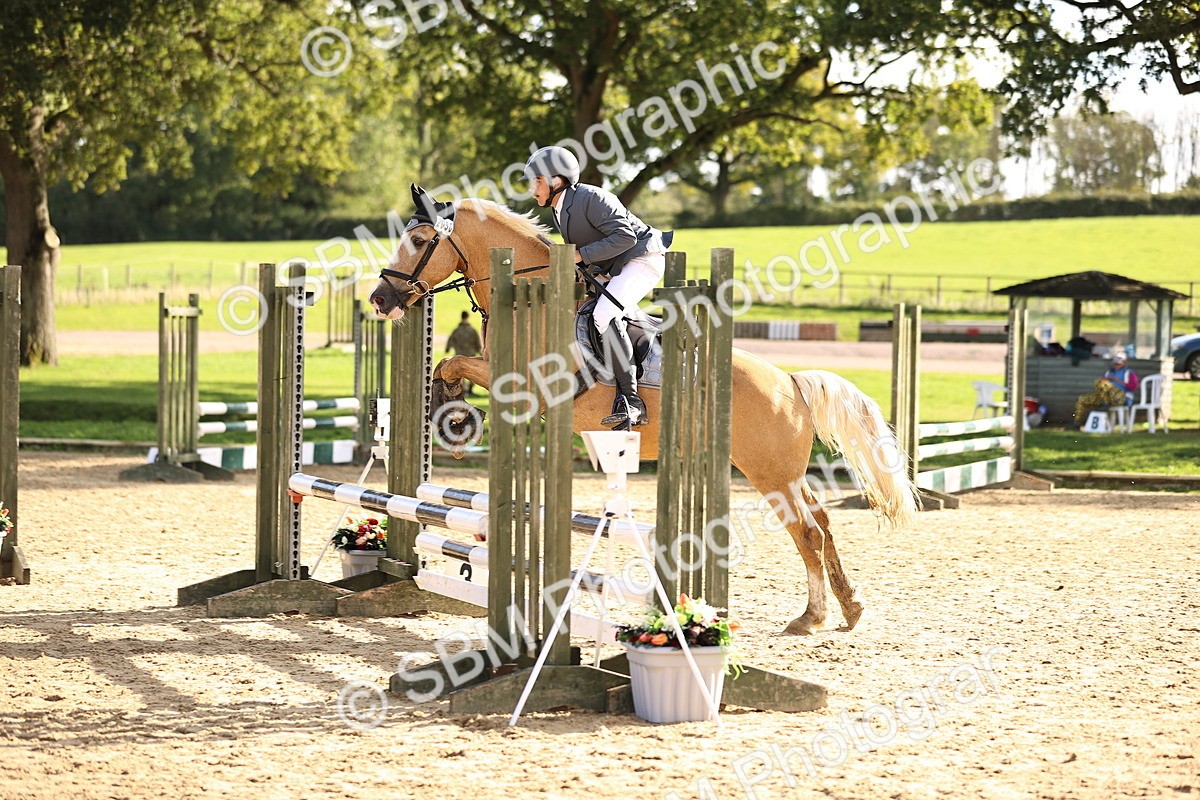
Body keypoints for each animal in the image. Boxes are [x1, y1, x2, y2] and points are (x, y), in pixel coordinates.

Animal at [370, 196, 918, 635]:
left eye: (418, 239)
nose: (380, 299)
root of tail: (791, 384)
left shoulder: (523, 383)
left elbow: (453, 363)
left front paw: (453, 415)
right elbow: (449, 362)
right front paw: (451, 410)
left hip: (768, 472)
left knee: (807, 531)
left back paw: (811, 618)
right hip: (783, 472)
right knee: (821, 522)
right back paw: (850, 607)